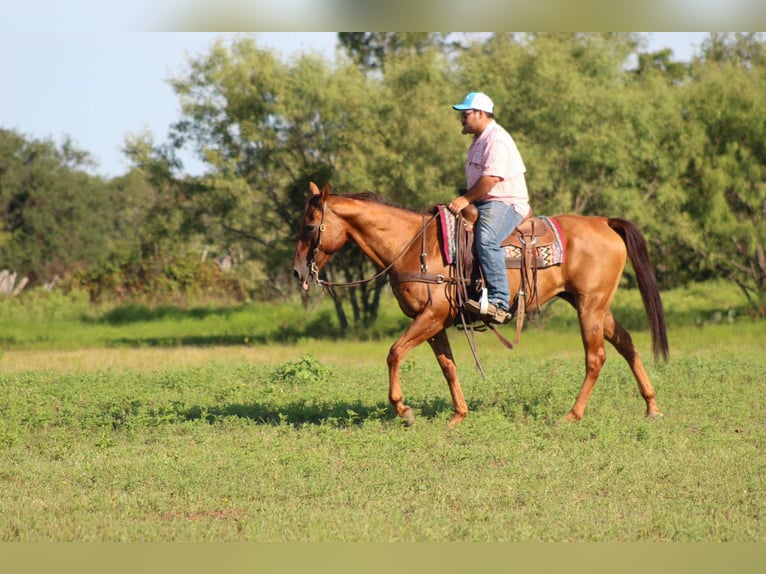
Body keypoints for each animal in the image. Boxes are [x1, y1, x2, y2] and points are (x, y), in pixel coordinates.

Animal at [292, 181, 668, 428]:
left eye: (309, 226)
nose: (297, 271)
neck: (413, 245)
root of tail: (604, 222)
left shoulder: (431, 316)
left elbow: (395, 352)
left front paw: (403, 410)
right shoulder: (434, 322)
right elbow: (448, 366)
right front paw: (459, 415)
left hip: (590, 306)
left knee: (597, 356)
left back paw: (573, 414)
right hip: (594, 305)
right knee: (626, 344)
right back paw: (652, 407)